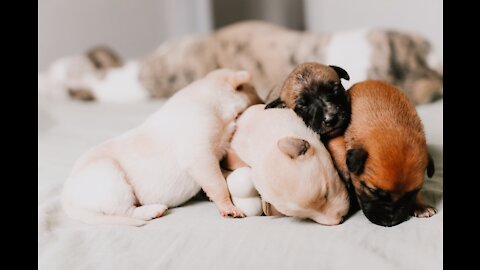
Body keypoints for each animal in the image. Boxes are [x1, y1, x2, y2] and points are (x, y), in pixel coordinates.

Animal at [61, 68, 262, 225]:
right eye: (254, 90)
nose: (265, 102)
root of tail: (68, 196)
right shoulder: (200, 156)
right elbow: (218, 184)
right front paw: (229, 207)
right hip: (111, 178)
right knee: (125, 211)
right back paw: (152, 210)